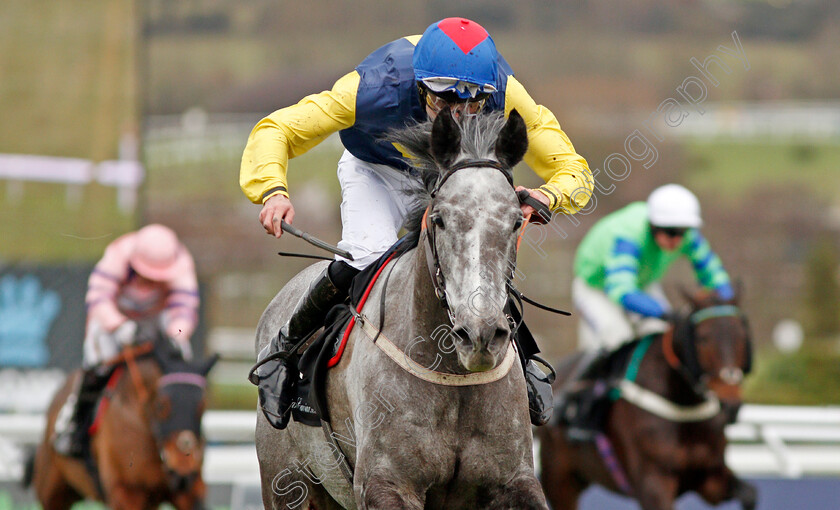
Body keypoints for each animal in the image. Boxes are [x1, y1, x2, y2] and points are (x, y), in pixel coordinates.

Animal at [29, 326, 218, 510]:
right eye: (161, 405)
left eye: (202, 405)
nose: (182, 467)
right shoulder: (126, 493)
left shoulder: (190, 492)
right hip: (52, 491)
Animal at [540, 290, 760, 510]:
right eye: (702, 338)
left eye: (742, 335)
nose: (730, 405)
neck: (683, 406)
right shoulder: (653, 483)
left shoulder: (709, 477)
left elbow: (749, 494)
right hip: (560, 480)